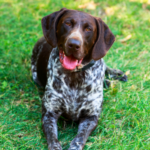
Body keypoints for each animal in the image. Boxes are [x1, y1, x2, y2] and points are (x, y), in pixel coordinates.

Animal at [31, 7, 127, 150]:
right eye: (67, 23)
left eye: (88, 29)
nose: (73, 44)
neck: (75, 75)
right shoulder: (49, 114)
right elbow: (53, 139)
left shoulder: (91, 117)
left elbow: (79, 139)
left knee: (105, 66)